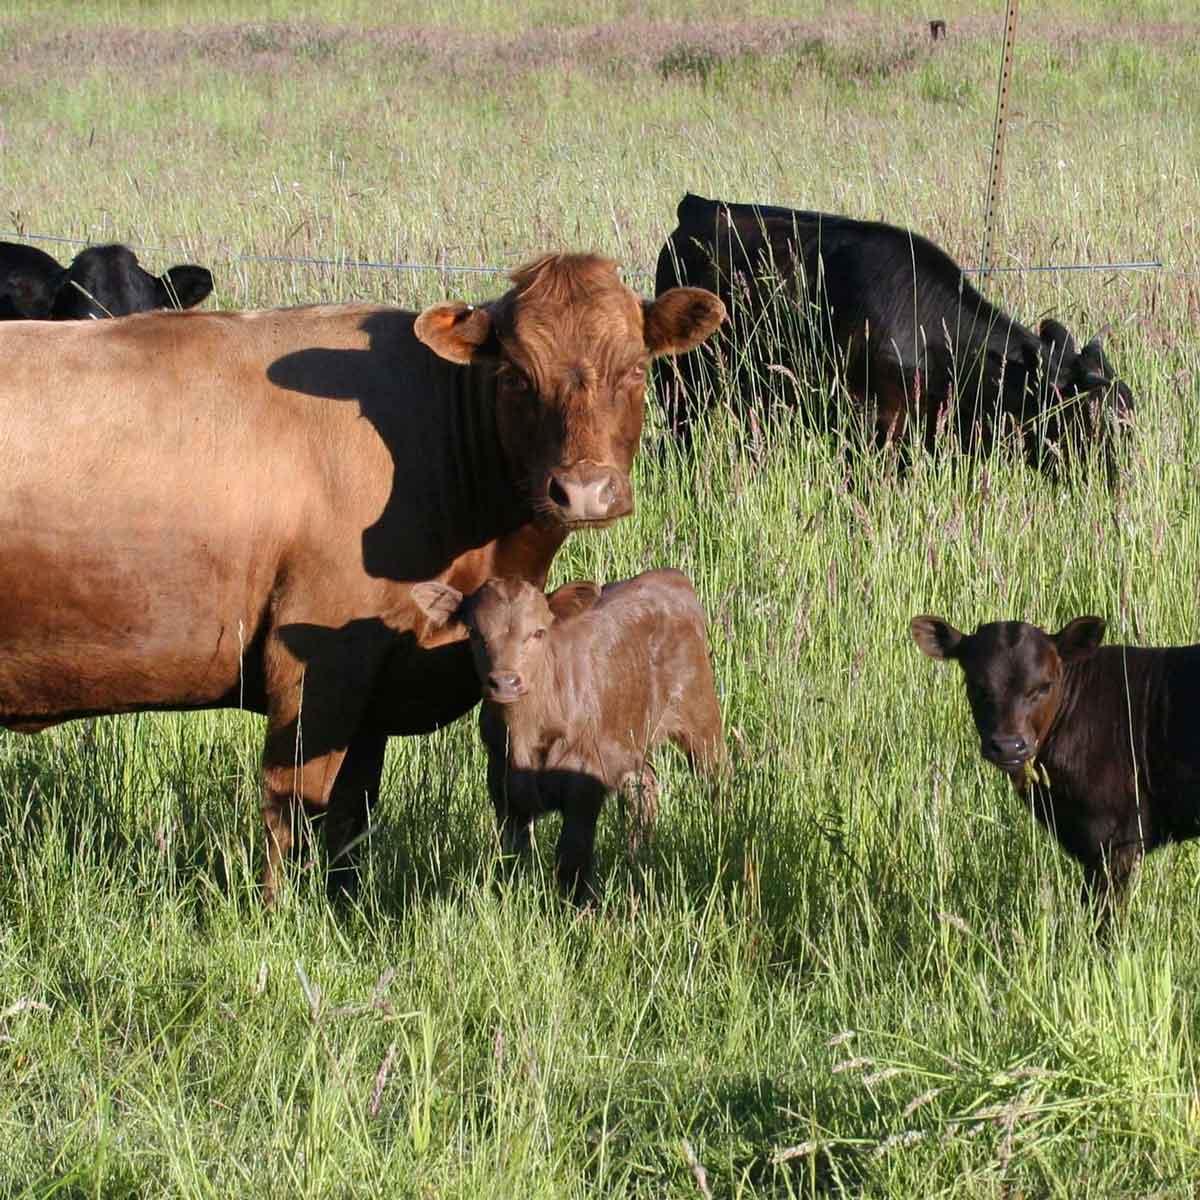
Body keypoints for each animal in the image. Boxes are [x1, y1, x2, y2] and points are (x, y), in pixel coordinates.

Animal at [417, 568, 724, 902]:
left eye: (538, 632)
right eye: (474, 632)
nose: (505, 682)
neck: (525, 735)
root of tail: (670, 576)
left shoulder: (584, 782)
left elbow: (572, 856)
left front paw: (580, 907)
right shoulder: (503, 789)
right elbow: (511, 858)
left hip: (700, 714)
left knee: (717, 777)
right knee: (645, 786)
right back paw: (638, 856)